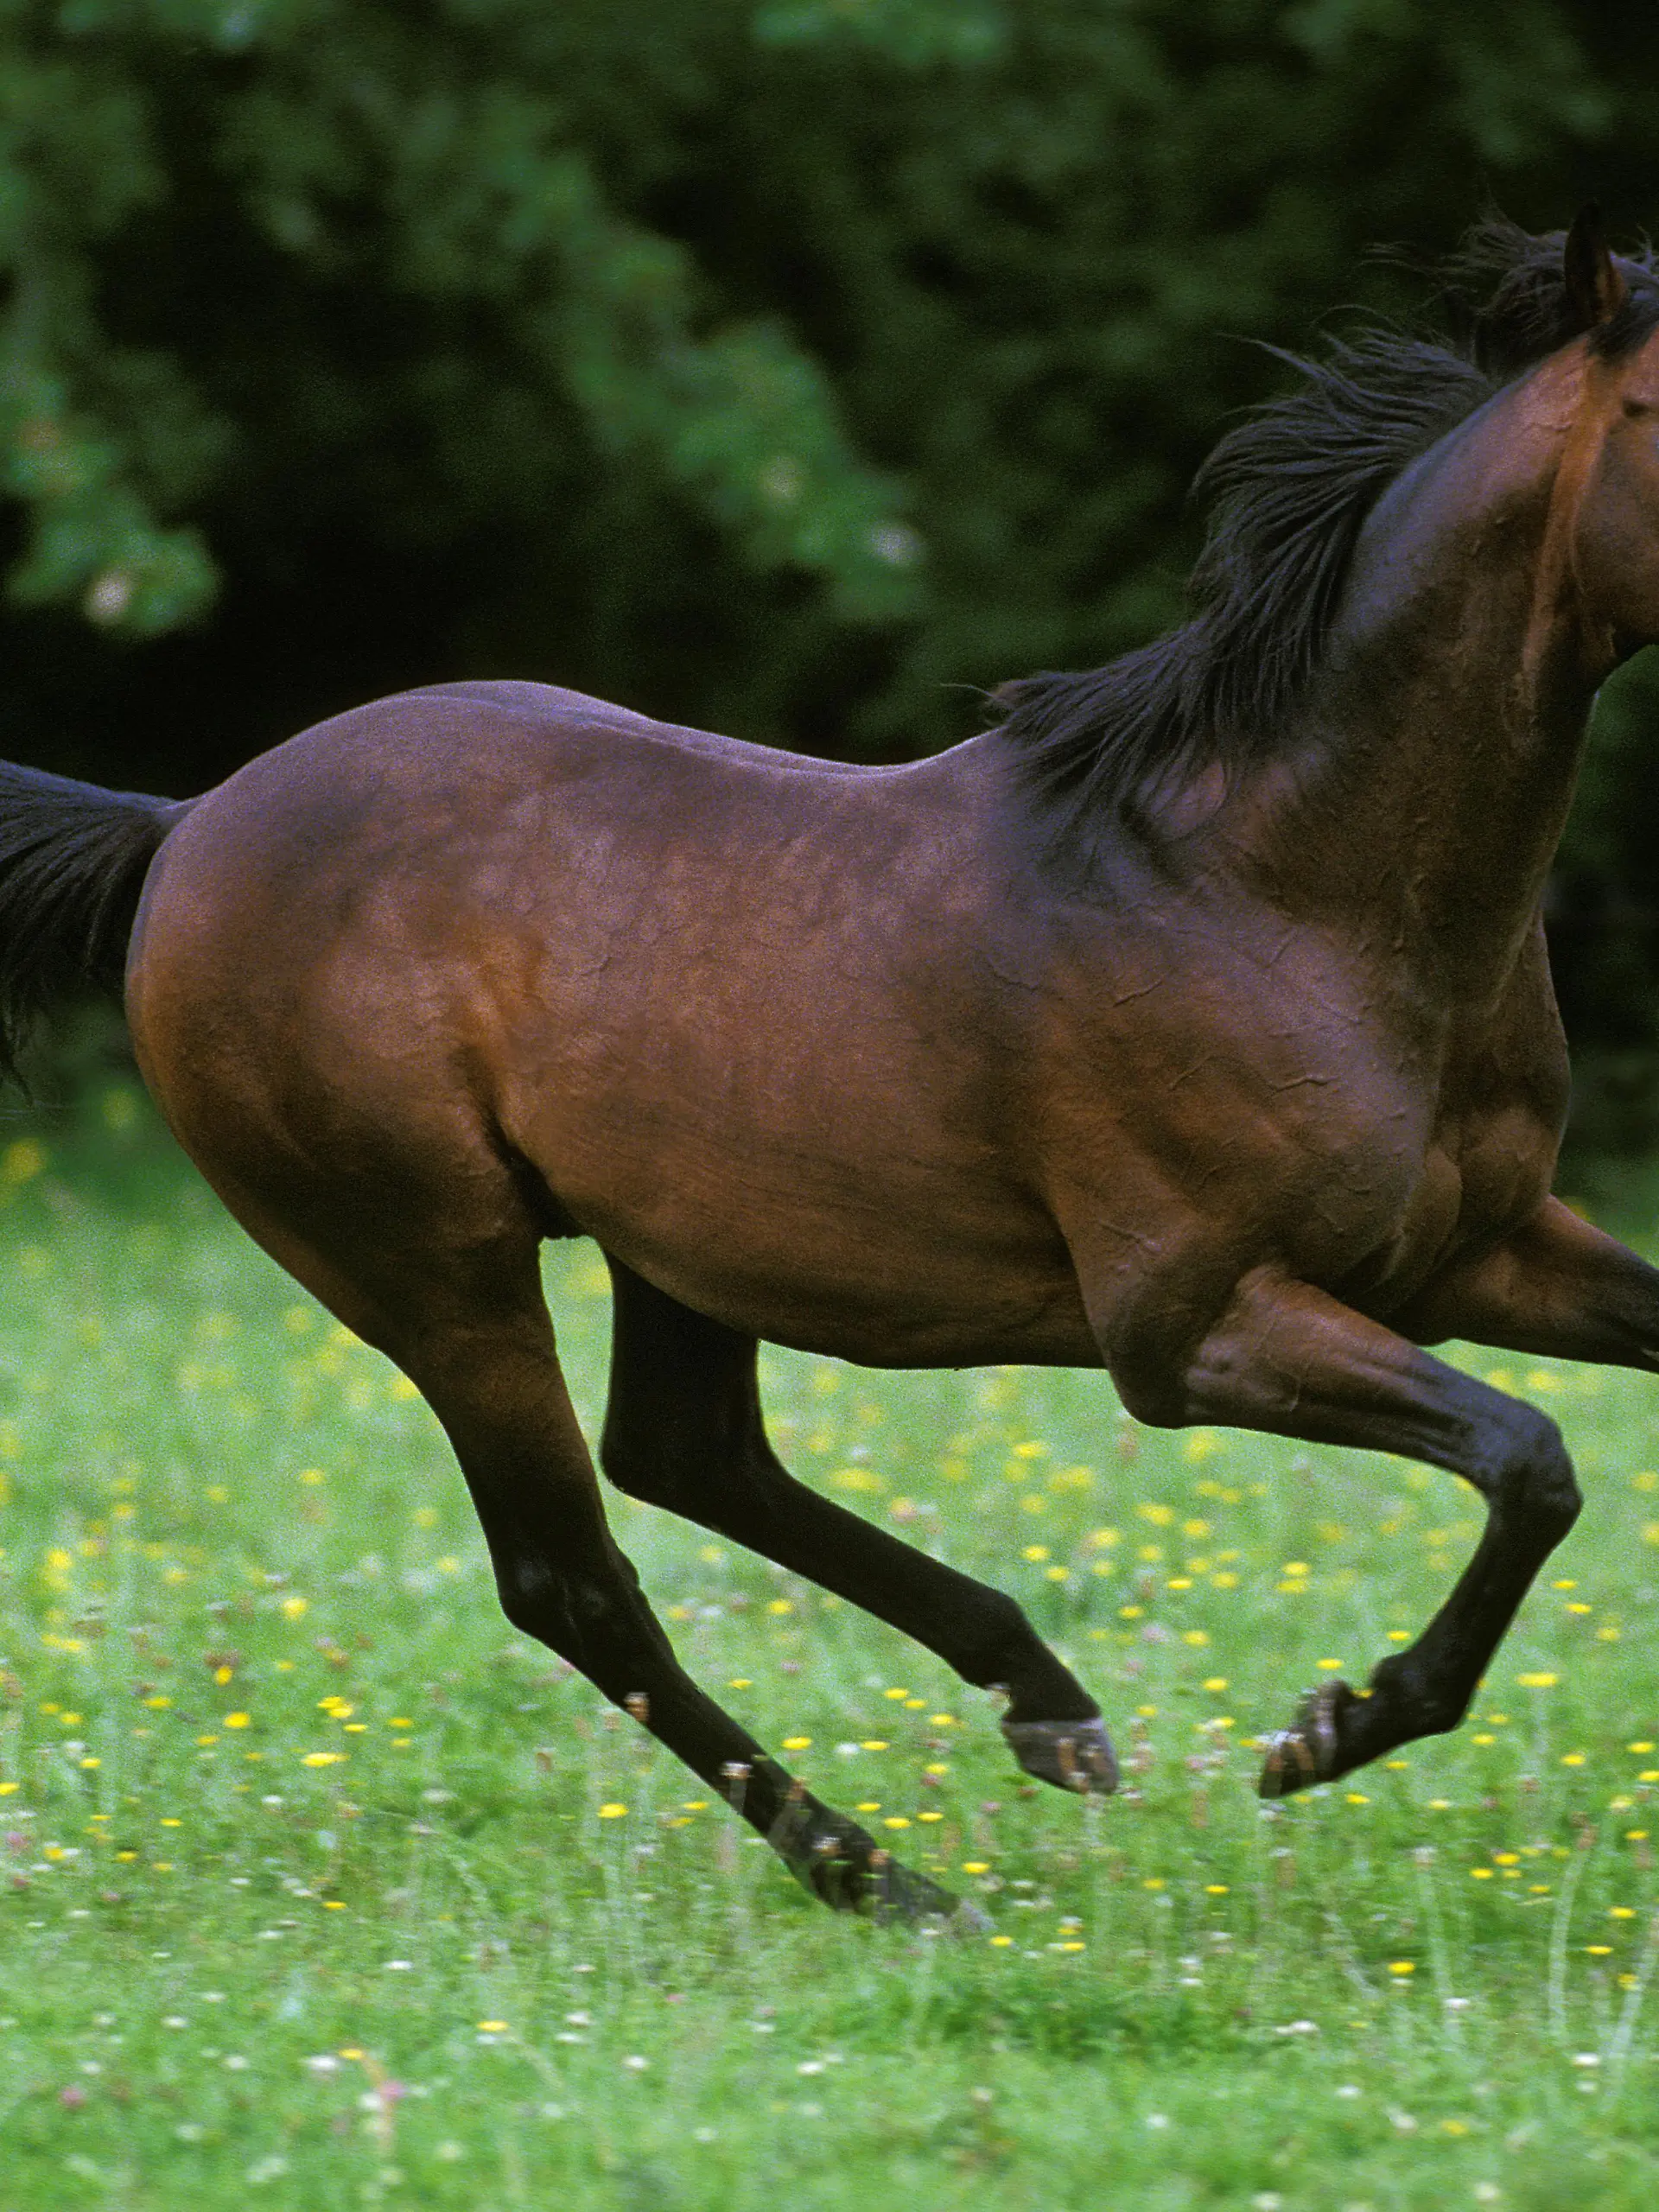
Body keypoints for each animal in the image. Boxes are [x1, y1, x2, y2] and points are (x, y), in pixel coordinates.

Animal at [4, 209, 1659, 1925]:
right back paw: (891, 1881)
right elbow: (1530, 1458)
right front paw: (1332, 1730)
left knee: (689, 1459)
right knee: (575, 1580)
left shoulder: (1478, 1251)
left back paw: (1040, 1706)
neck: (1280, 884)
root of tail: (183, 826)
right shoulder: (1189, 1328)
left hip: (677, 1238)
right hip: (436, 1271)